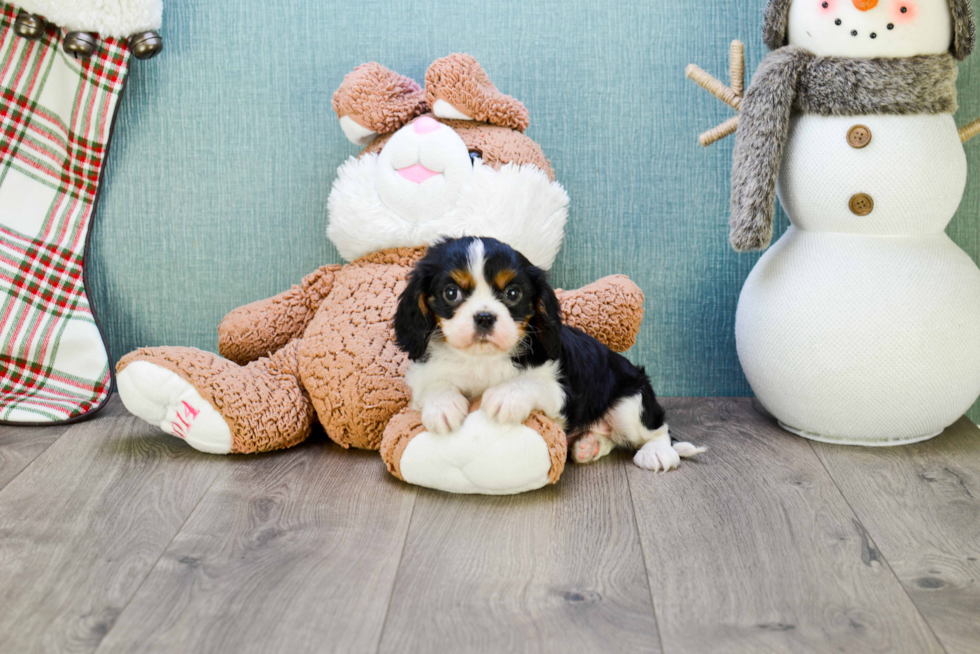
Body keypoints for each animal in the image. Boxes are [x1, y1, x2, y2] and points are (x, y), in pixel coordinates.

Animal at [390, 236, 704, 472]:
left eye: (513, 293)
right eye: (451, 293)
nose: (484, 317)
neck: (482, 358)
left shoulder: (559, 389)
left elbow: (529, 382)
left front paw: (505, 396)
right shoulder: (423, 374)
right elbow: (435, 383)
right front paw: (442, 406)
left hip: (631, 403)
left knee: (657, 430)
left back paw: (656, 452)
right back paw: (589, 445)